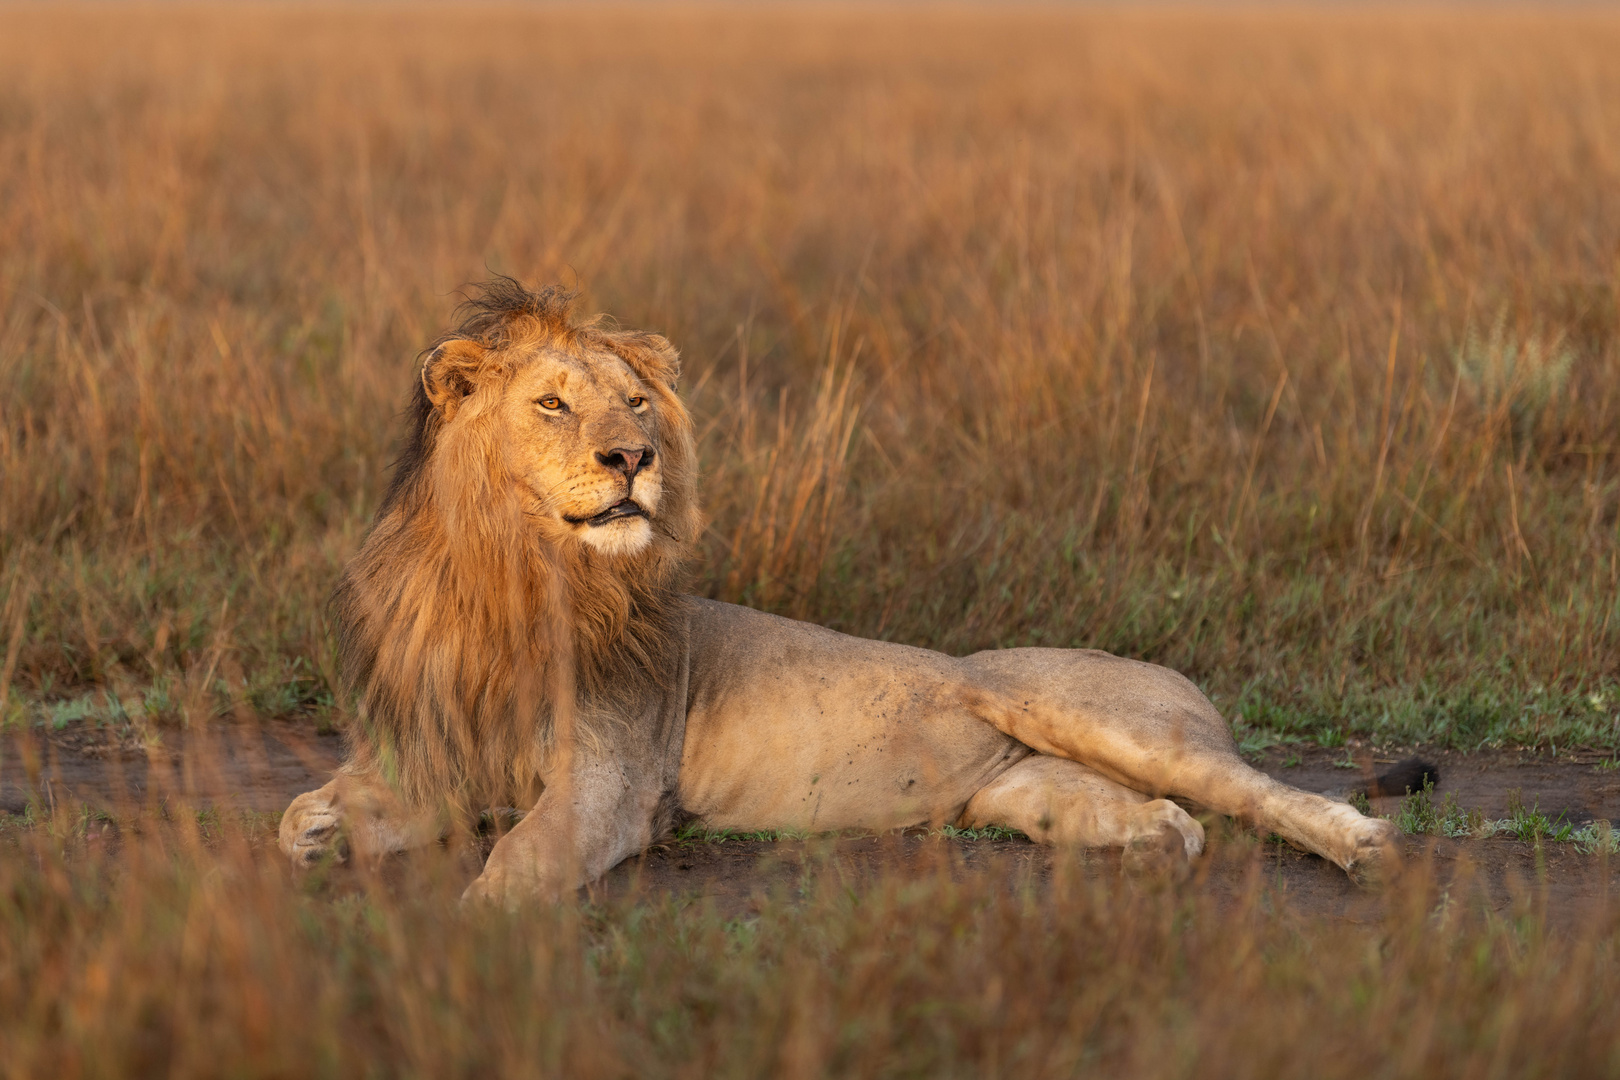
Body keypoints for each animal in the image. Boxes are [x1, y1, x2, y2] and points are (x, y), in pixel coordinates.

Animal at [285, 278, 1412, 906]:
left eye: (638, 403)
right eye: (553, 405)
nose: (633, 458)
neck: (515, 572)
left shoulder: (611, 781)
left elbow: (519, 862)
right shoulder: (440, 752)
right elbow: (322, 814)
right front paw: (323, 826)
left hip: (1095, 714)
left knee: (1257, 794)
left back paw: (1365, 850)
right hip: (1026, 792)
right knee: (1178, 822)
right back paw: (1152, 856)